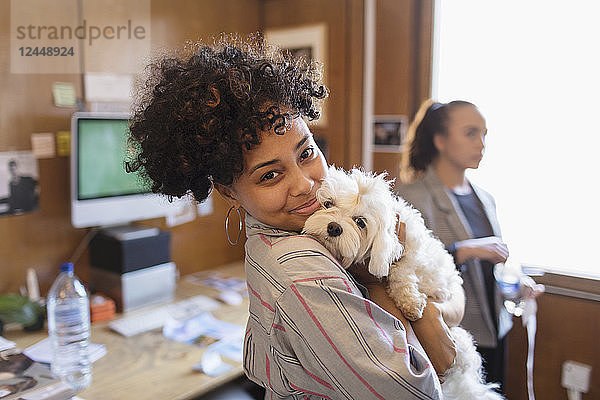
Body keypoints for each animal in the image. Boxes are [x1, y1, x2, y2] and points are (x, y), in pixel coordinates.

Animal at [302, 167, 504, 400]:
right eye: (328, 204)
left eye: (360, 222)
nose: (334, 227)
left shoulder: (408, 251)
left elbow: (402, 272)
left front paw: (411, 303)